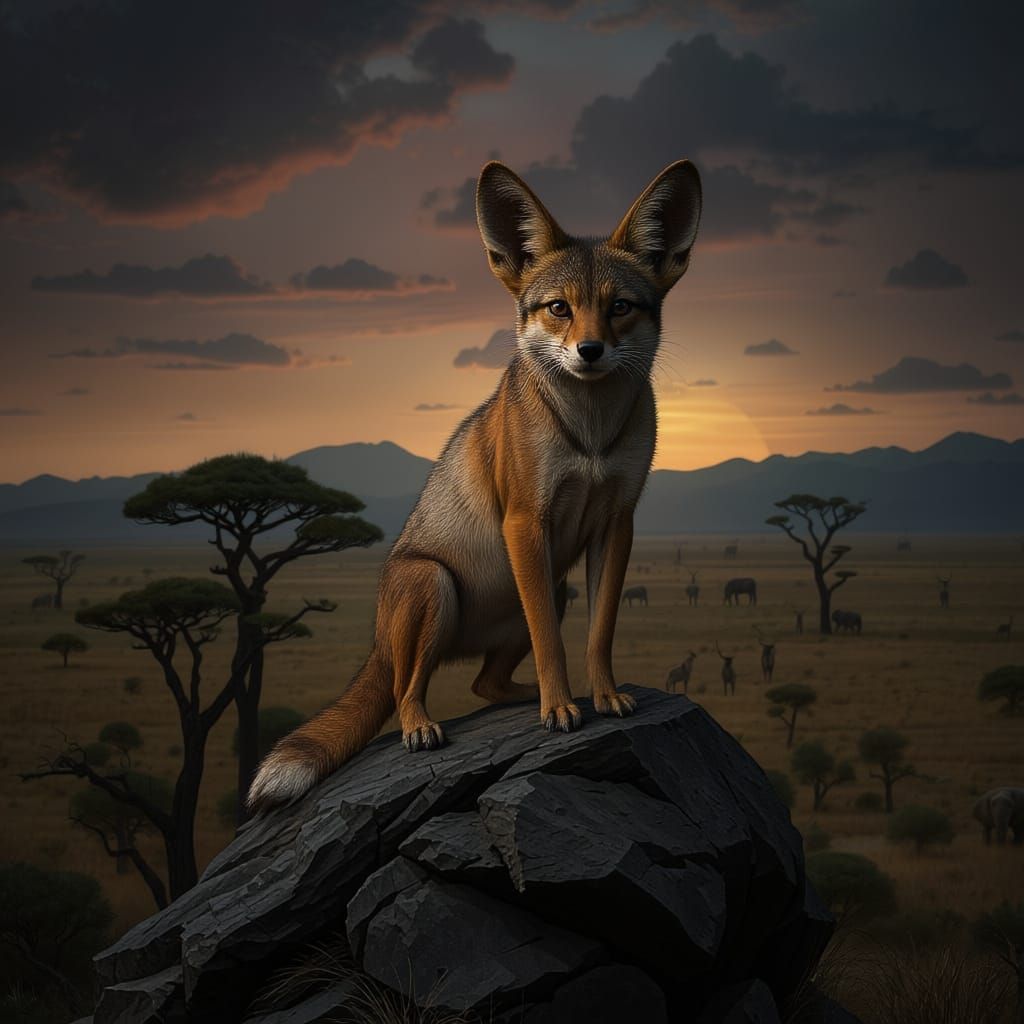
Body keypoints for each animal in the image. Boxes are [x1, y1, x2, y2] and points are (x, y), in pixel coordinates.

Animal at [247, 158, 703, 812]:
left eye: (620, 307)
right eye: (559, 308)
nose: (589, 351)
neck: (589, 437)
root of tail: (377, 637)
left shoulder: (617, 522)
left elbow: (598, 634)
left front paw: (603, 697)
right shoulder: (525, 521)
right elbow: (552, 643)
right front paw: (560, 710)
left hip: (547, 591)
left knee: (484, 683)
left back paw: (524, 695)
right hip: (435, 586)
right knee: (407, 687)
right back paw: (424, 726)